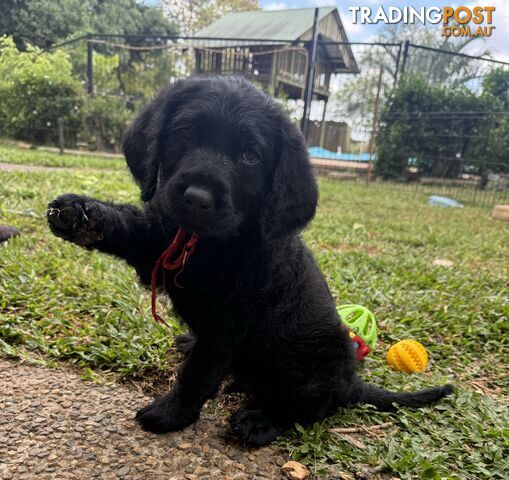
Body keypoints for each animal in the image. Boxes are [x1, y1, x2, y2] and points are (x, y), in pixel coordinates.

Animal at [47, 76, 452, 446]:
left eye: (250, 156)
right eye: (185, 132)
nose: (197, 197)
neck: (211, 243)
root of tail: (351, 382)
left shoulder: (225, 328)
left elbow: (197, 375)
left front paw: (170, 414)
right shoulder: (162, 240)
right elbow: (132, 227)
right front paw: (82, 214)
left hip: (314, 365)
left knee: (312, 406)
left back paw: (261, 421)